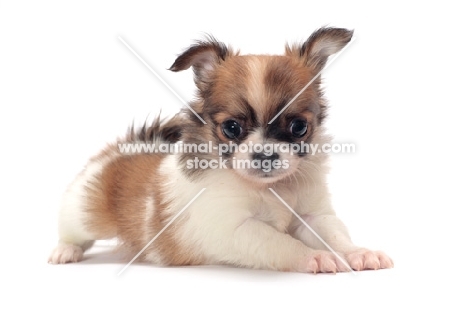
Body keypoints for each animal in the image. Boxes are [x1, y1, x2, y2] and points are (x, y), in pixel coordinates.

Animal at [48, 28, 392, 274]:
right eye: (232, 128)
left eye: (298, 127)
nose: (266, 156)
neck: (270, 189)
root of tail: (130, 147)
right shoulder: (233, 229)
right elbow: (280, 242)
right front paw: (315, 257)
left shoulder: (313, 215)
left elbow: (334, 234)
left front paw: (359, 252)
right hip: (84, 211)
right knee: (71, 229)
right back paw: (65, 251)